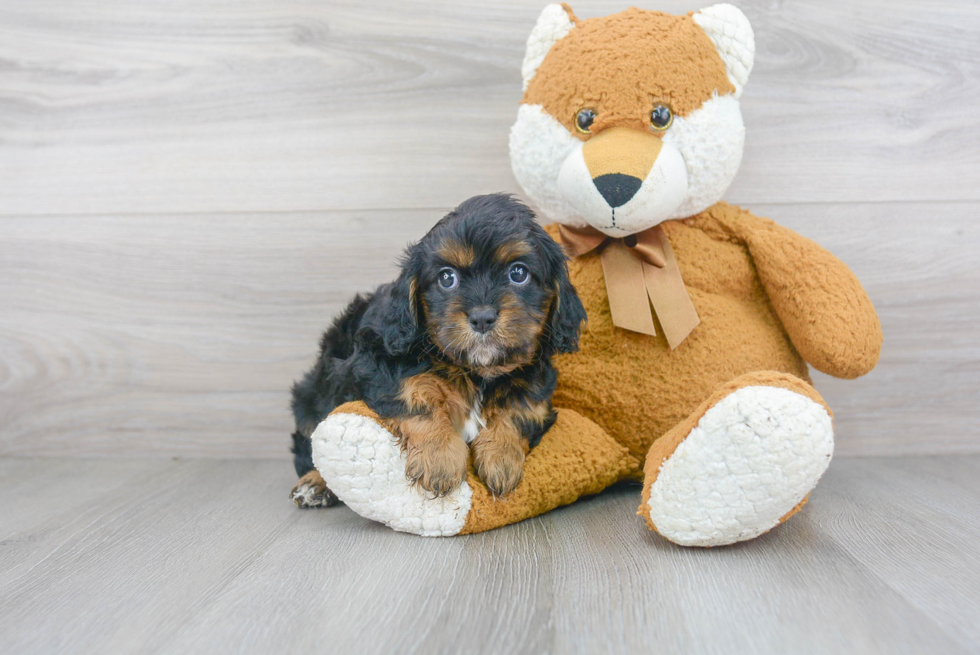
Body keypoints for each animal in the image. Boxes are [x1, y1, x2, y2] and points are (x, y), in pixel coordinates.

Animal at [288, 195, 584, 508]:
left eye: (518, 273)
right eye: (446, 278)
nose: (482, 317)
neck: (475, 371)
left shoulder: (537, 388)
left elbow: (520, 407)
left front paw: (502, 457)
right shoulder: (374, 361)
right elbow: (417, 396)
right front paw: (439, 459)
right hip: (312, 396)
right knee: (311, 444)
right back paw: (314, 484)